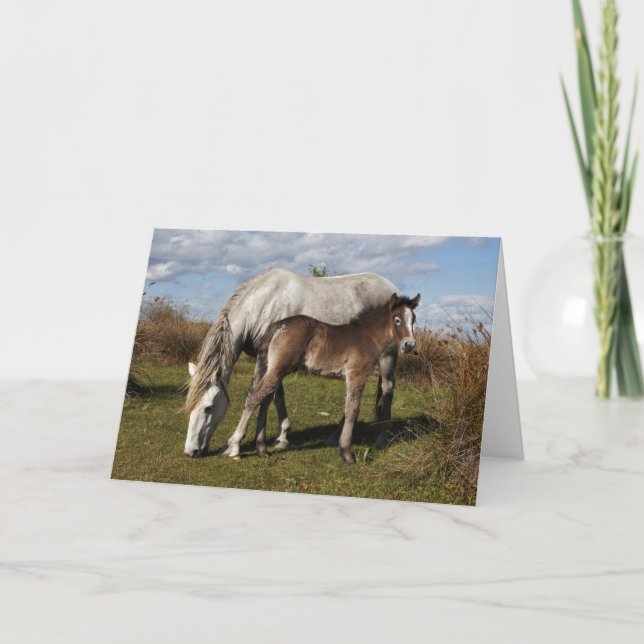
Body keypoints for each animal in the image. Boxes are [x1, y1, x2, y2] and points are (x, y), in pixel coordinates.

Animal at [184, 268, 402, 457]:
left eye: (208, 407)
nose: (191, 451)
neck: (263, 303)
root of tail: (393, 290)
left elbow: (258, 395)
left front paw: (236, 445)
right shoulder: (271, 361)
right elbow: (275, 395)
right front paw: (280, 437)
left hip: (387, 357)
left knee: (387, 388)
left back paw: (382, 438)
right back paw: (335, 437)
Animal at [221, 293, 420, 464]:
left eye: (413, 319)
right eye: (397, 320)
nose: (409, 345)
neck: (368, 336)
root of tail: (277, 326)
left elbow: (347, 408)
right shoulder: (356, 374)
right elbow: (353, 410)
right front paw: (347, 453)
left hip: (273, 368)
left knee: (265, 399)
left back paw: (261, 448)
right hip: (278, 368)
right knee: (254, 398)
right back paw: (235, 447)